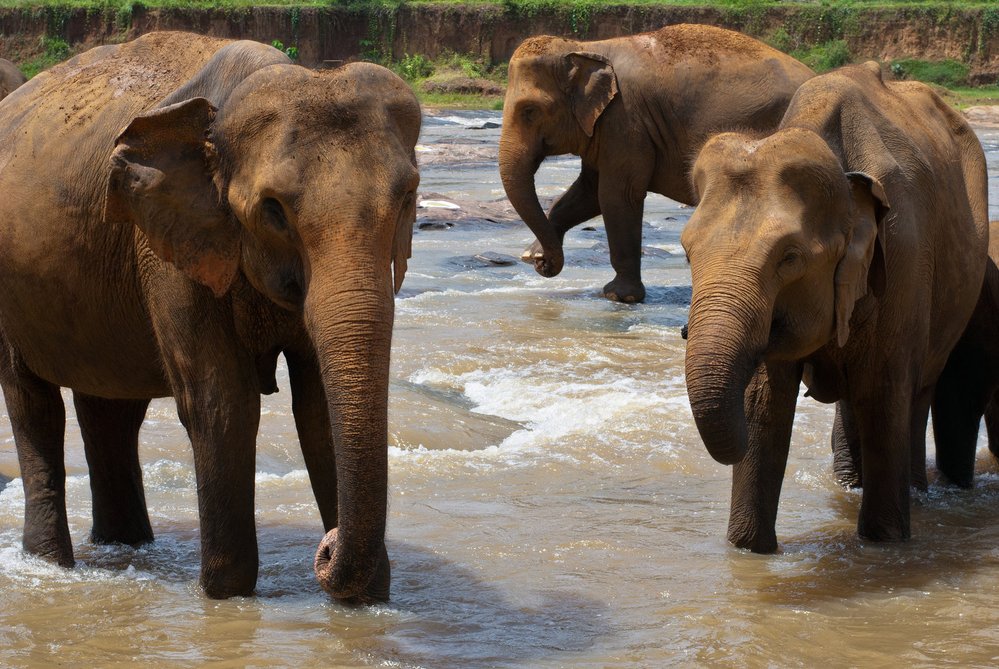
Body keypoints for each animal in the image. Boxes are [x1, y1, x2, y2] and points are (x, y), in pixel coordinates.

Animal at [0, 32, 420, 604]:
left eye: (408, 198)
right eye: (273, 210)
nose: (326, 547)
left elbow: (316, 407)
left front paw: (366, 598)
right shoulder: (167, 246)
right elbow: (223, 401)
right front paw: (227, 594)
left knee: (110, 409)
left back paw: (126, 547)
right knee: (32, 403)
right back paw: (52, 564)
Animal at [496, 22, 816, 300]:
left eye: (529, 111)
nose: (543, 265)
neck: (586, 47)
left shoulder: (626, 121)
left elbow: (616, 195)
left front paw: (619, 296)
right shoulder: (604, 127)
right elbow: (588, 192)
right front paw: (534, 253)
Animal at [684, 61, 988, 552]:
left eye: (789, 258)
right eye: (687, 253)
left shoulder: (903, 256)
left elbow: (883, 394)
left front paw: (884, 543)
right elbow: (765, 402)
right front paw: (748, 549)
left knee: (914, 392)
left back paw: (914, 494)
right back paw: (847, 484)